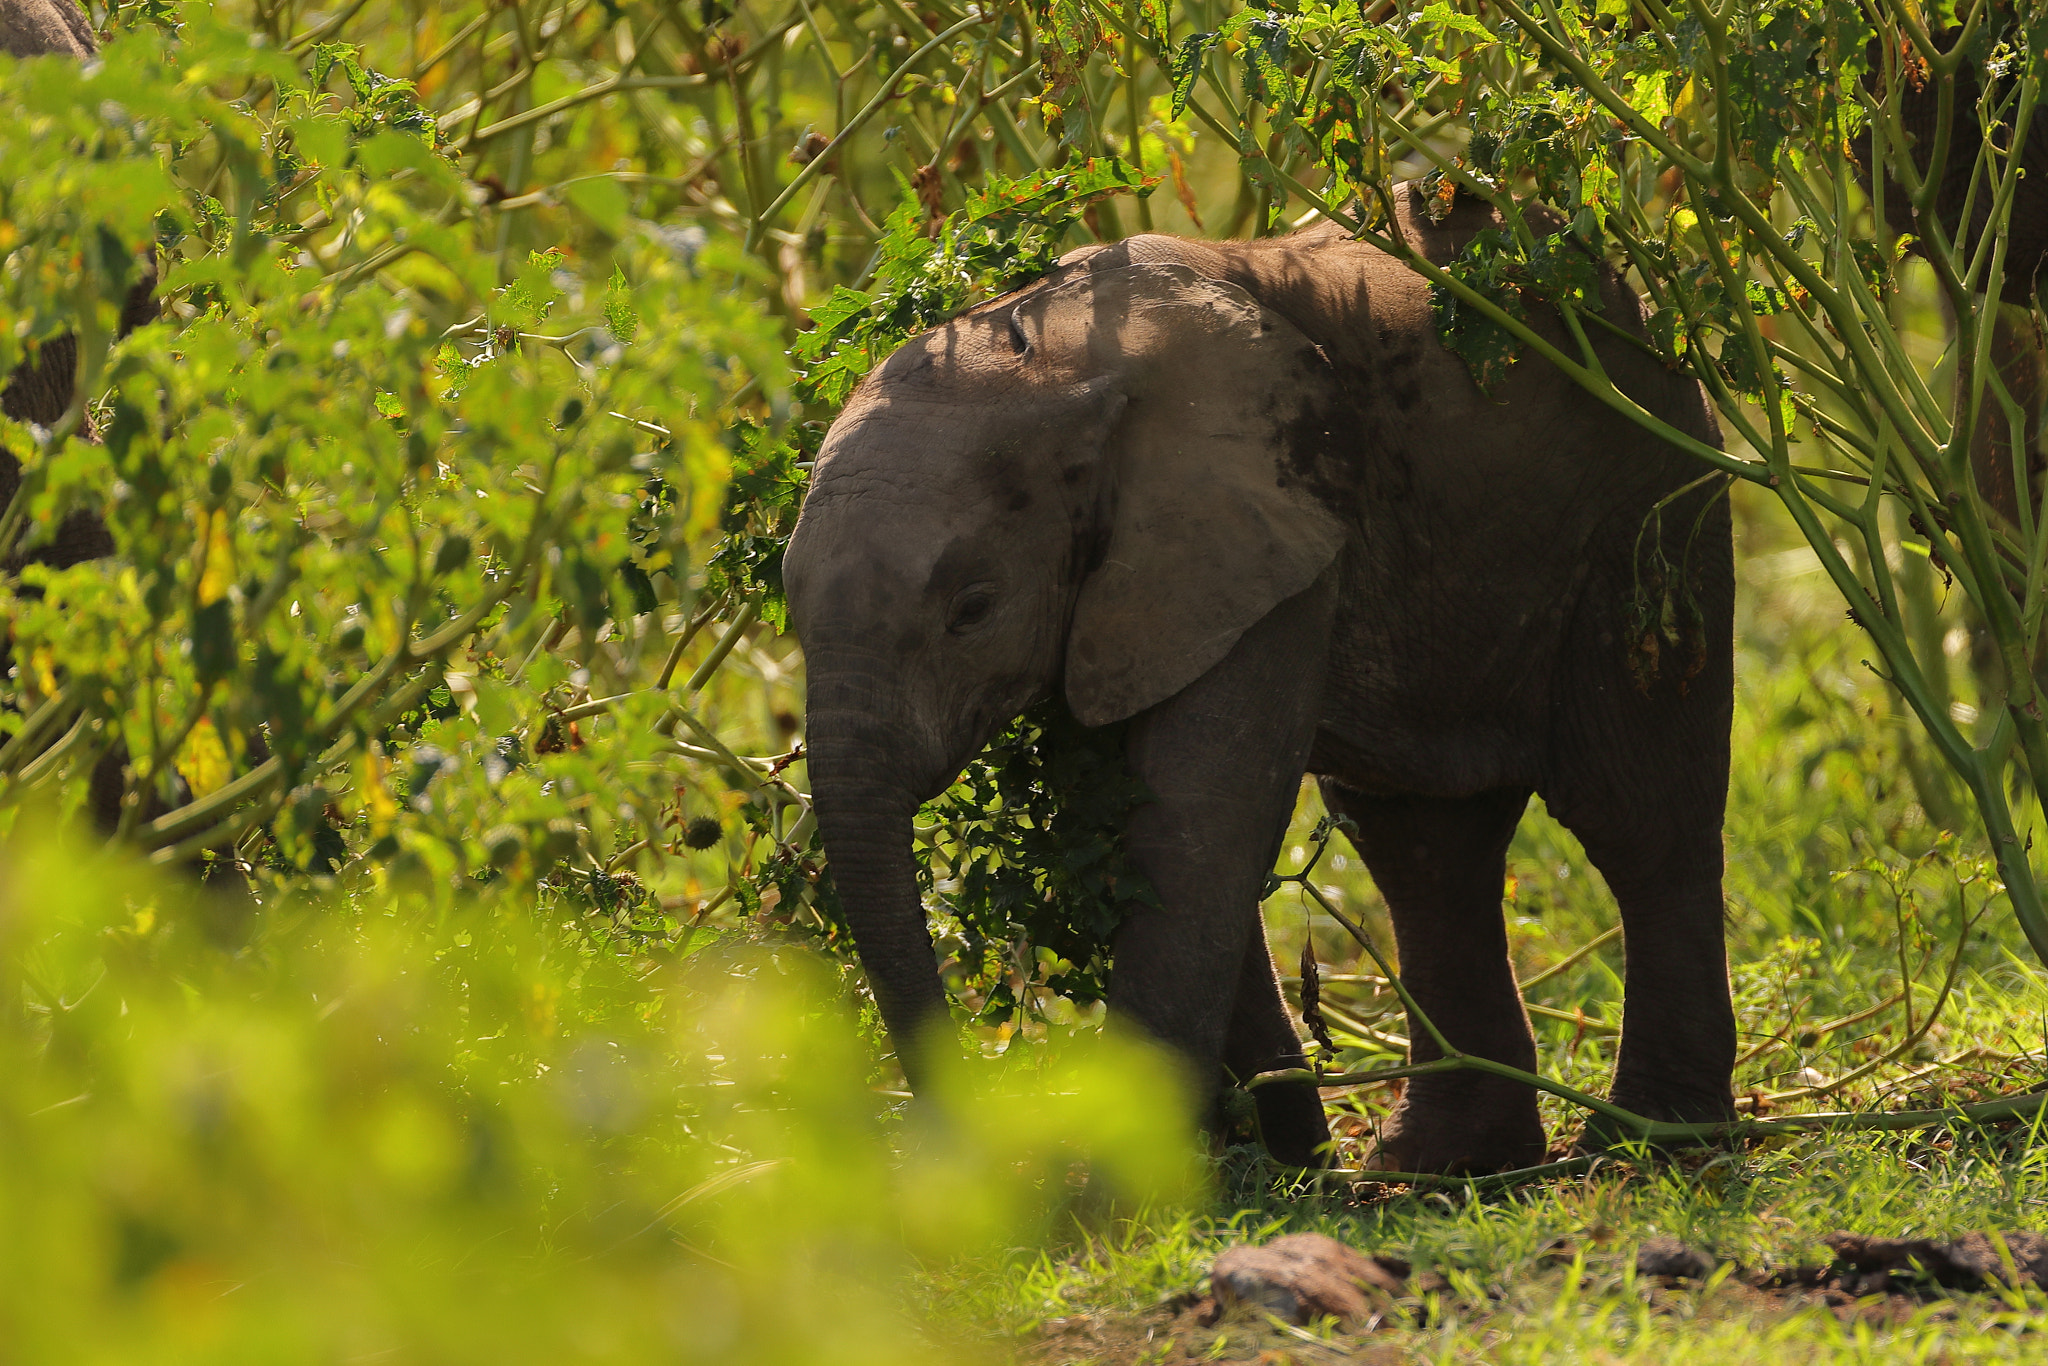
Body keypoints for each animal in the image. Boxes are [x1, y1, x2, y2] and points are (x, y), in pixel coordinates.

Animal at [778, 184, 1728, 1179]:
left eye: (973, 608)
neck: (1054, 354)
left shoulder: (1264, 513)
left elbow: (1203, 812)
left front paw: (1128, 1190)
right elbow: (1133, 817)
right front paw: (1272, 1163)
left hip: (1649, 507)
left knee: (1638, 814)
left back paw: (1652, 1142)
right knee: (1424, 845)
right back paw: (1440, 1163)